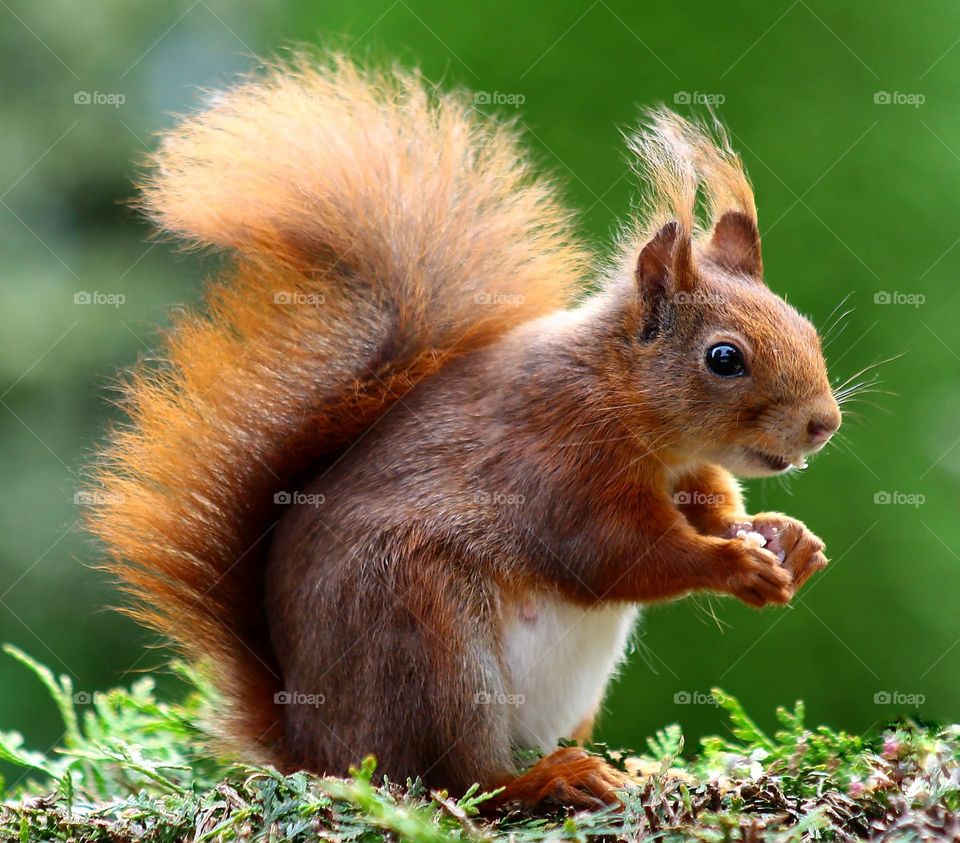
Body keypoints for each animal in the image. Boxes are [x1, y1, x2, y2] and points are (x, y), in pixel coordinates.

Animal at [85, 57, 841, 810]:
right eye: (724, 358)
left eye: (805, 328)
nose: (824, 424)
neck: (627, 407)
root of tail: (313, 746)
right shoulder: (557, 465)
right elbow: (617, 557)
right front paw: (736, 564)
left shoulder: (687, 473)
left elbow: (711, 508)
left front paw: (786, 538)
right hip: (427, 639)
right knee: (458, 776)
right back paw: (548, 778)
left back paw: (631, 770)